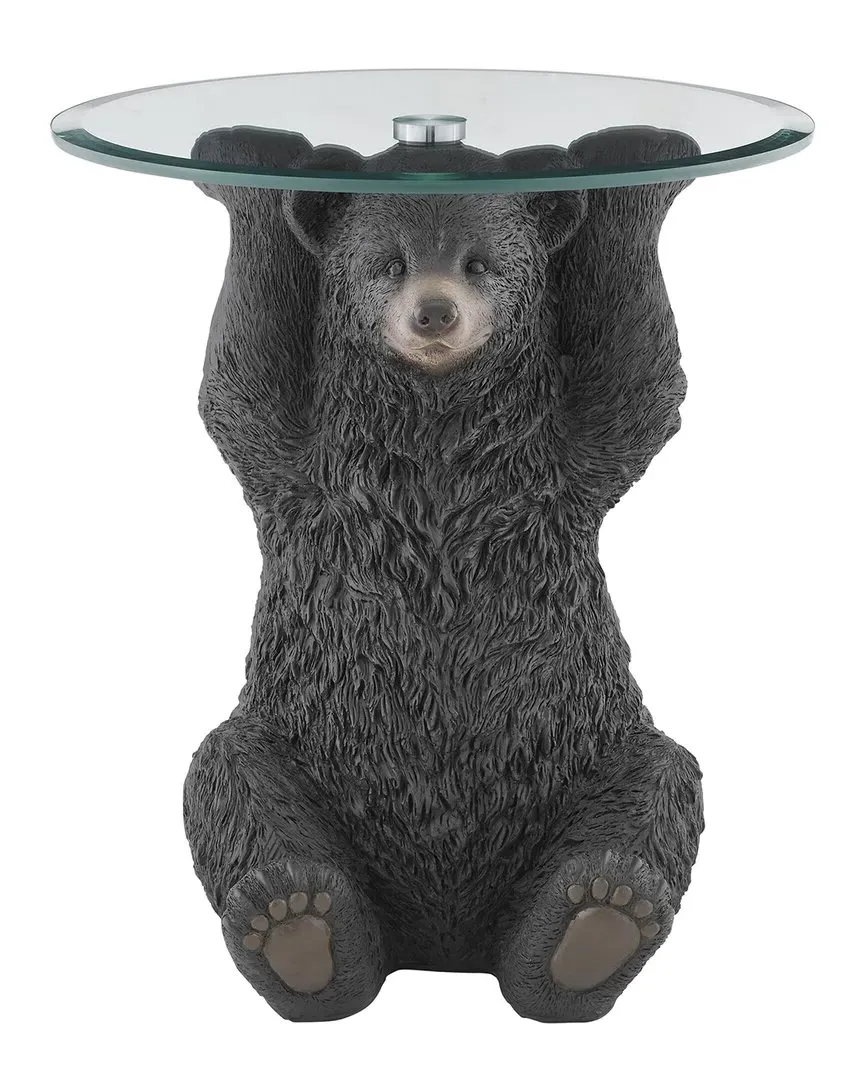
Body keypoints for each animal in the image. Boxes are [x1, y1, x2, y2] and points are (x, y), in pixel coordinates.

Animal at [183, 125, 704, 1023]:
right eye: (388, 261)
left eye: (479, 262)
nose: (434, 311)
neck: (435, 440)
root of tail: (443, 946)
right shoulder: (314, 479)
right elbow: (243, 375)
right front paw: (244, 158)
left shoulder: (551, 477)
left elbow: (636, 372)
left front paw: (643, 157)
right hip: (291, 748)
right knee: (225, 778)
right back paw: (294, 922)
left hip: (595, 755)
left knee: (663, 785)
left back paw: (596, 920)